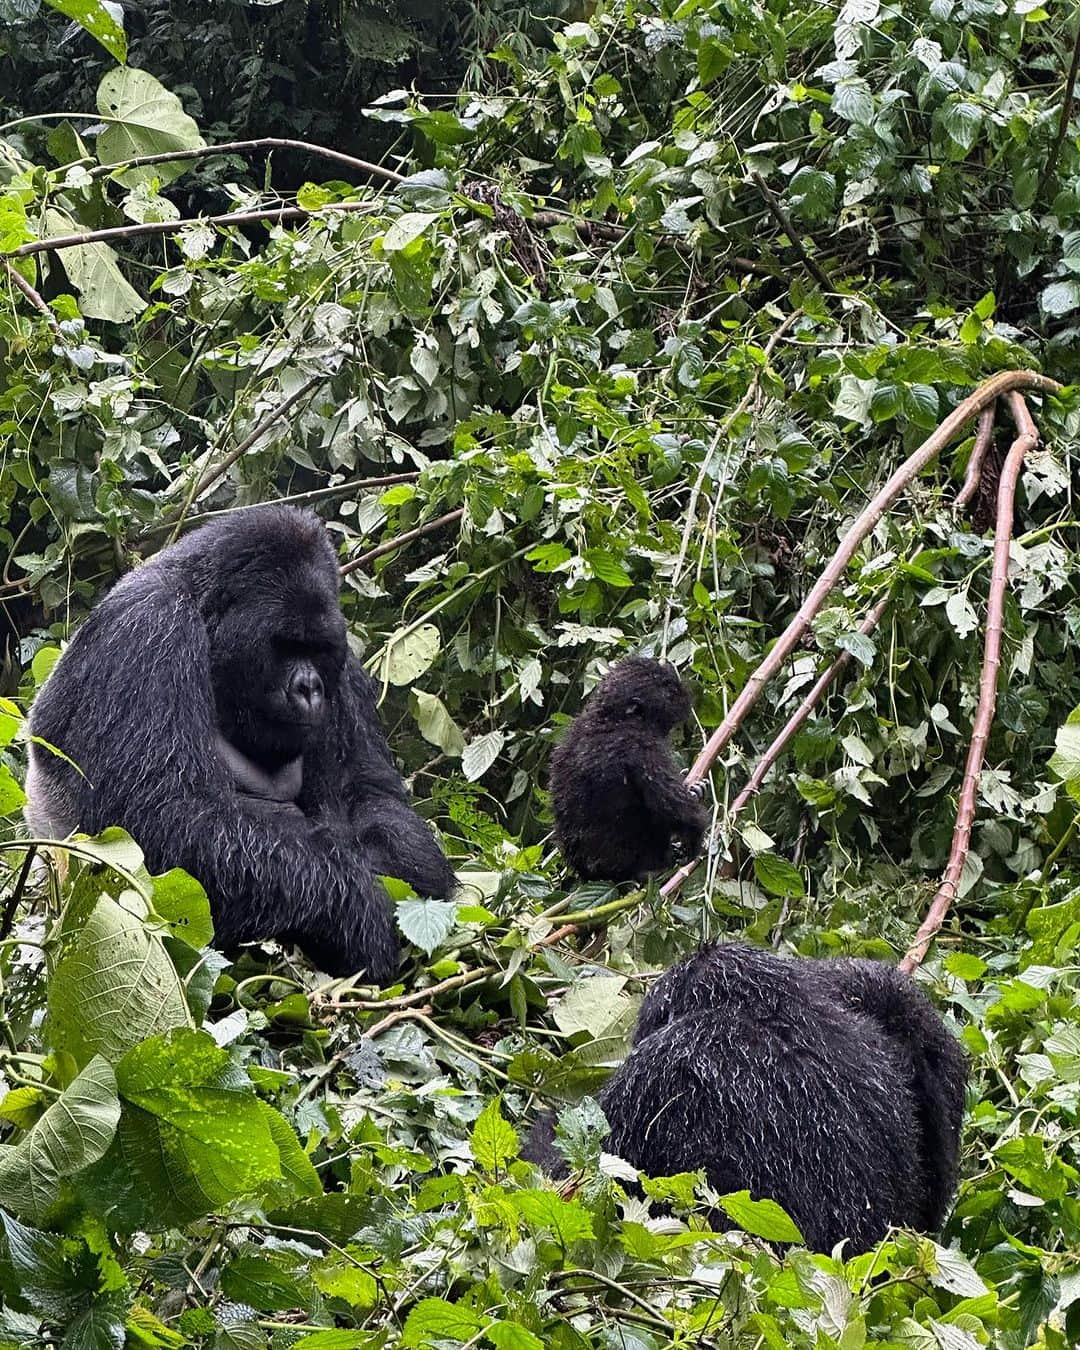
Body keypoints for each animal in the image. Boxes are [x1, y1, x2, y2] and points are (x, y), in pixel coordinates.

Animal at [24, 507, 456, 982]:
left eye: (317, 648)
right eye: (285, 646)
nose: (309, 688)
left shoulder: (346, 673)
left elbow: (373, 799)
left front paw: (404, 872)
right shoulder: (145, 629)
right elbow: (158, 825)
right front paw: (357, 909)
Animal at [548, 656, 707, 885]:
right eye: (667, 689)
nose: (685, 695)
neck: (611, 717)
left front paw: (696, 788)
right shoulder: (641, 746)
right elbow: (675, 807)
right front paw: (695, 839)